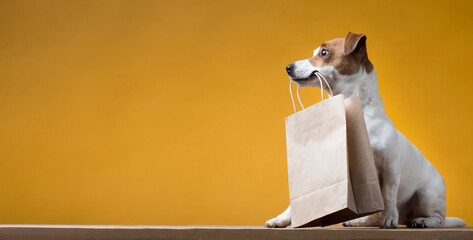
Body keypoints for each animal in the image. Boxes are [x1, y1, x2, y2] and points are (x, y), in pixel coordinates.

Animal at [264, 32, 466, 229]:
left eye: (324, 52)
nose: (288, 67)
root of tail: (406, 218)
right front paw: (280, 219)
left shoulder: (390, 167)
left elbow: (389, 196)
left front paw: (389, 219)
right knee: (375, 216)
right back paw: (356, 221)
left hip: (427, 196)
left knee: (437, 219)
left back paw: (423, 221)